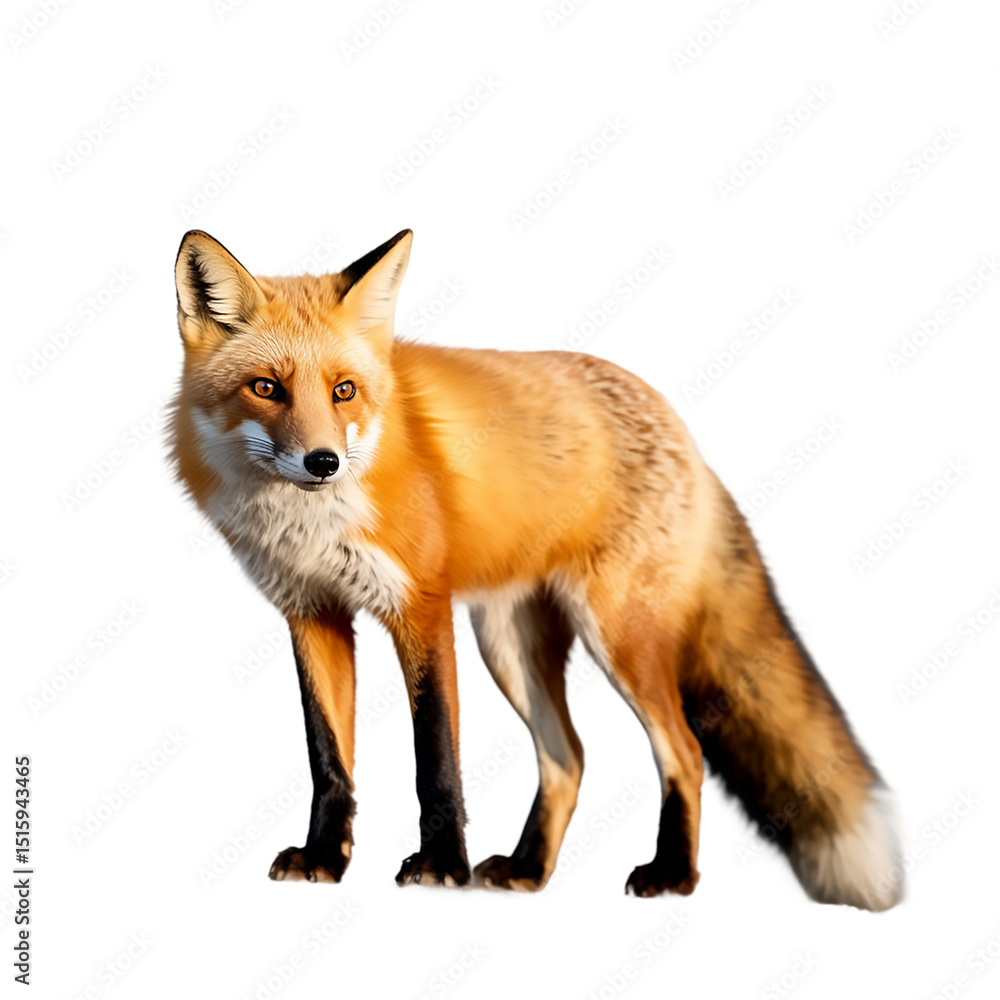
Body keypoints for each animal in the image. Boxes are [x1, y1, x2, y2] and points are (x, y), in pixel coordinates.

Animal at [168, 228, 902, 910]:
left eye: (344, 391)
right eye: (266, 388)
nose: (323, 462)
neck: (309, 521)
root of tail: (681, 430)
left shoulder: (422, 608)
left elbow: (435, 756)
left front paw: (441, 865)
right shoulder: (312, 612)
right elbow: (329, 759)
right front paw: (325, 857)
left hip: (618, 638)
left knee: (684, 751)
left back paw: (672, 874)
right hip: (511, 645)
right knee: (568, 758)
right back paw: (528, 869)